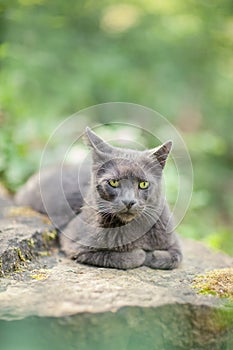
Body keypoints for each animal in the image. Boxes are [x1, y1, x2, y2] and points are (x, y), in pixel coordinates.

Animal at [15, 127, 183, 270]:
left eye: (143, 184)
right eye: (113, 182)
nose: (128, 201)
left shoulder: (173, 240)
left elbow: (174, 257)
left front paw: (152, 255)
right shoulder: (75, 244)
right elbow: (124, 258)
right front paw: (141, 254)